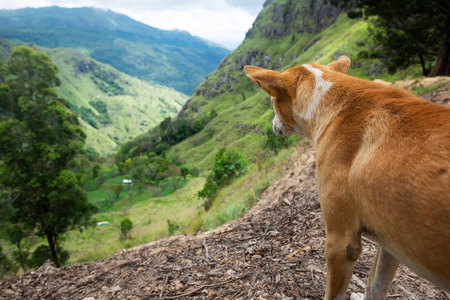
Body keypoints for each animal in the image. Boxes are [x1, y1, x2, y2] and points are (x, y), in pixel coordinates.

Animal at [246, 56, 450, 300]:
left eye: (272, 101)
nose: (272, 125)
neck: (331, 104)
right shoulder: (393, 245)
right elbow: (375, 286)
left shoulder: (341, 243)